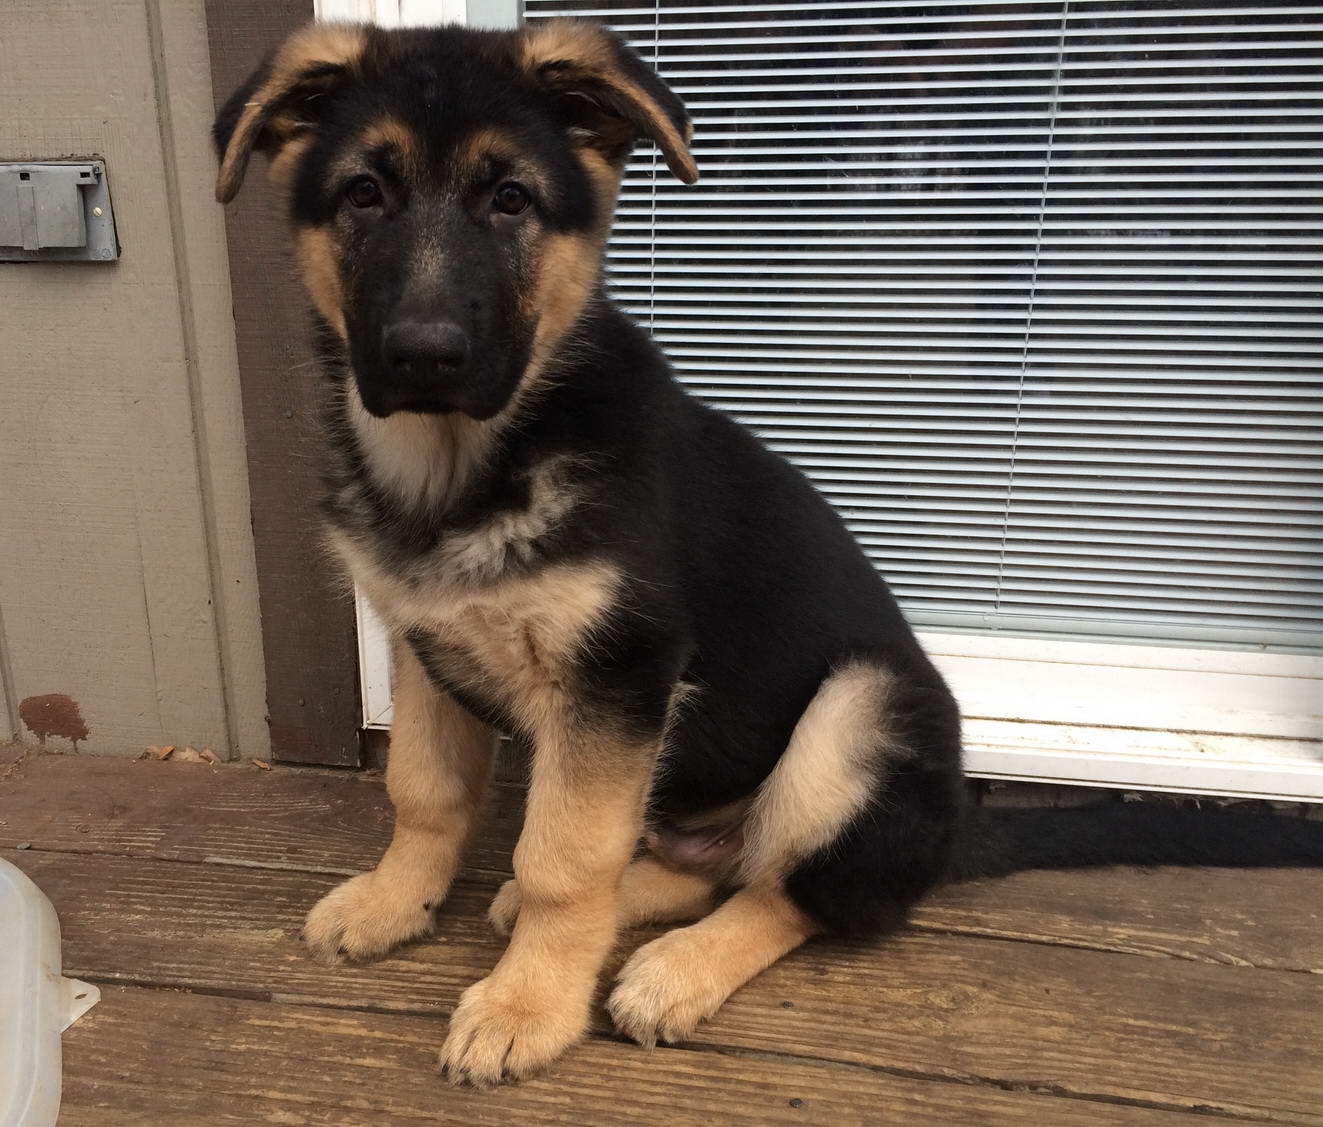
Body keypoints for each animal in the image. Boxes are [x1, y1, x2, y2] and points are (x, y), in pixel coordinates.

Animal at [216, 21, 1323, 1089]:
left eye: (511, 200)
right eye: (362, 194)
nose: (425, 353)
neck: (465, 465)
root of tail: (949, 835)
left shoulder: (620, 673)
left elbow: (563, 857)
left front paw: (528, 1005)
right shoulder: (425, 642)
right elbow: (425, 793)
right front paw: (395, 901)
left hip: (860, 709)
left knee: (800, 891)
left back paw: (676, 969)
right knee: (714, 862)